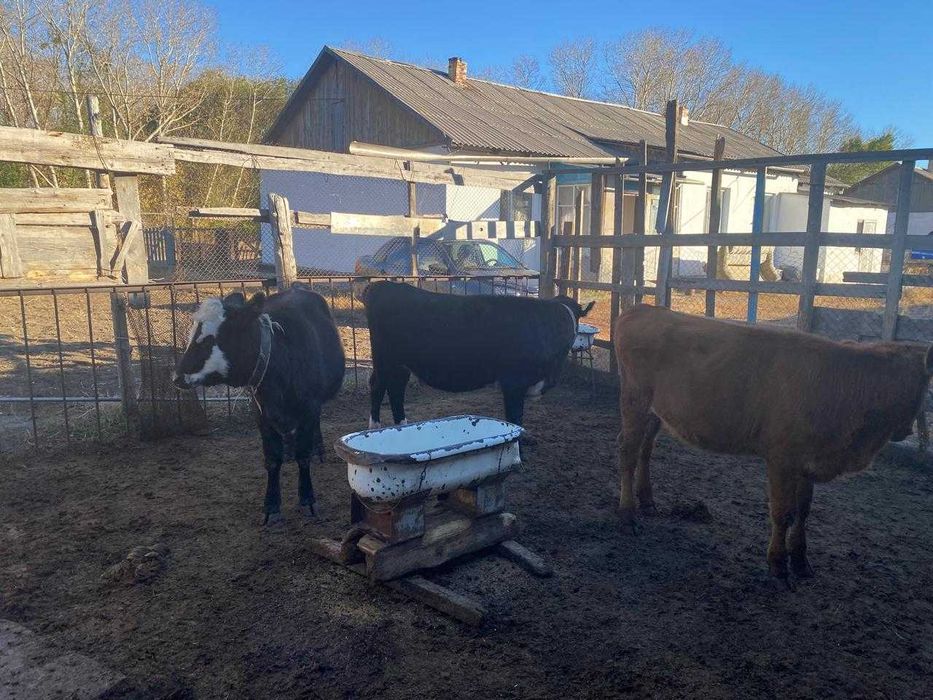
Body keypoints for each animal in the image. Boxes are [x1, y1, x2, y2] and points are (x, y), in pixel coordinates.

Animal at [172, 284, 345, 524]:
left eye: (209, 339)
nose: (177, 377)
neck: (282, 361)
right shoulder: (261, 414)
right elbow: (272, 459)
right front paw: (271, 506)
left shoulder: (310, 407)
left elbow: (303, 455)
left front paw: (307, 499)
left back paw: (317, 450)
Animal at [363, 280, 594, 428]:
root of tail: (381, 286)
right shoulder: (513, 382)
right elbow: (515, 420)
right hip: (385, 359)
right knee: (380, 386)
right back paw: (376, 427)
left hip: (400, 363)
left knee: (394, 388)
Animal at [614, 304, 932, 583]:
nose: (906, 431)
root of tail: (643, 309)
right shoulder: (781, 459)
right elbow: (783, 513)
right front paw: (778, 566)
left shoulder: (808, 462)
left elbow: (803, 511)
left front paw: (801, 562)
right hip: (635, 400)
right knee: (628, 452)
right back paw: (627, 516)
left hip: (657, 412)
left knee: (645, 450)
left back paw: (648, 502)